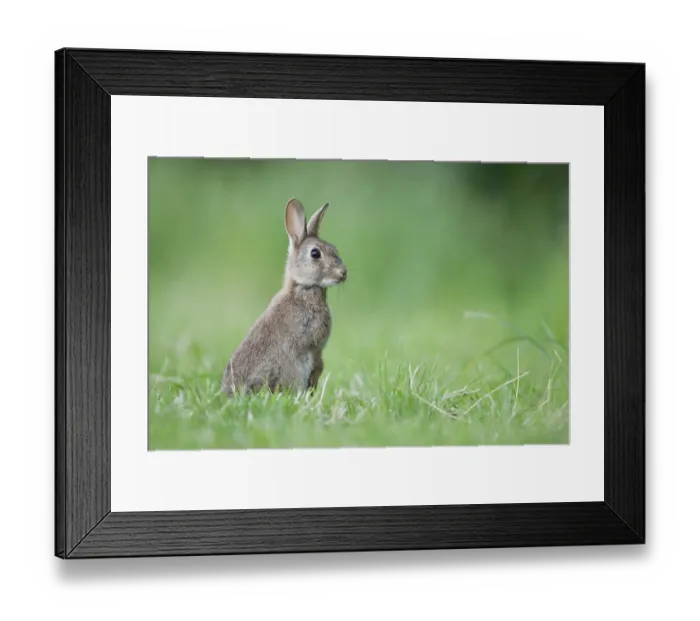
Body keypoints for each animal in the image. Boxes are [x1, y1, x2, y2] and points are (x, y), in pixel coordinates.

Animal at [221, 198, 347, 395]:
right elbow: (317, 362)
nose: (343, 273)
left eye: (335, 249)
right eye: (315, 253)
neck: (302, 288)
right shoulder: (313, 345)